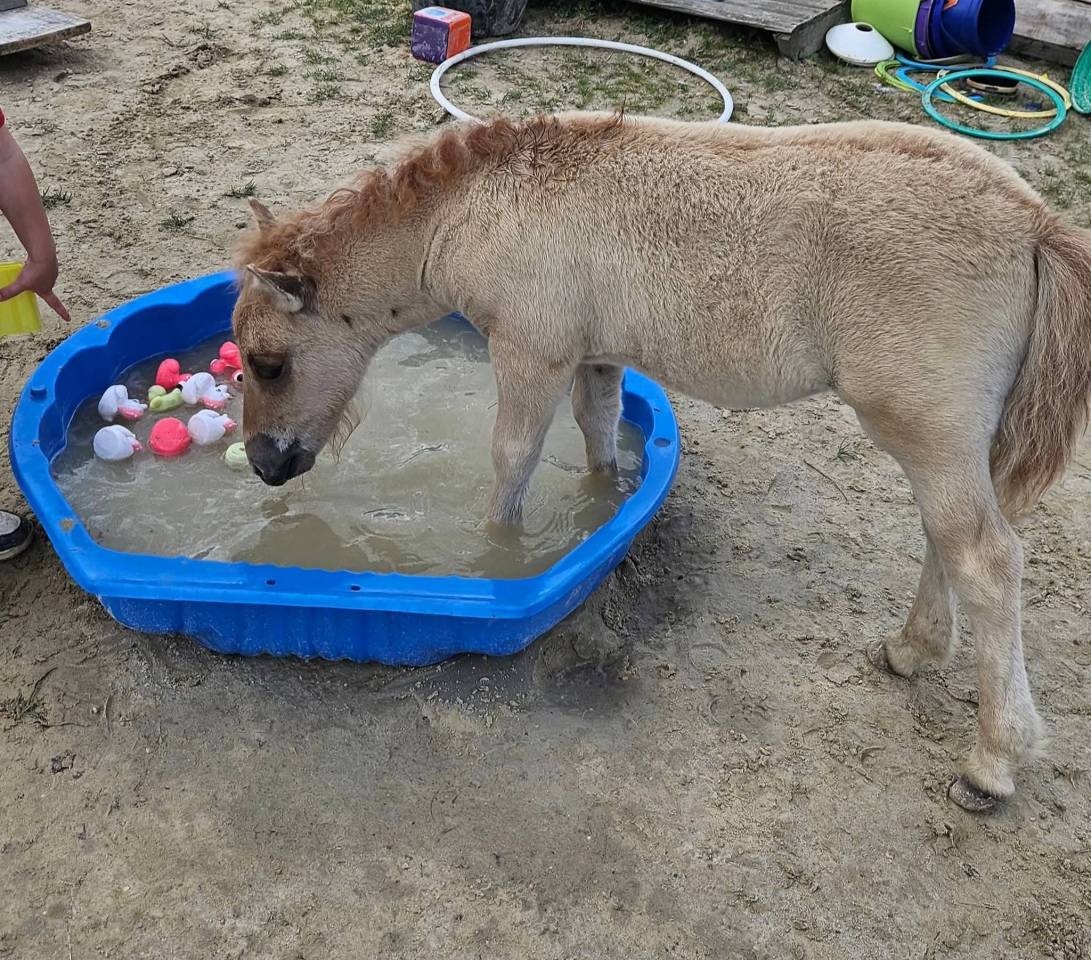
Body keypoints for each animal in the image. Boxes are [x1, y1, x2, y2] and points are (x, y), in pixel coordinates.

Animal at [230, 111, 1091, 812]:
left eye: (268, 364)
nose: (267, 465)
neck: (485, 204)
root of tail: (1032, 223)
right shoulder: (593, 353)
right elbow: (600, 429)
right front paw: (603, 508)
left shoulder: (530, 353)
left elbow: (511, 461)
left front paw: (493, 562)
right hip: (945, 440)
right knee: (944, 539)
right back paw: (911, 649)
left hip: (924, 429)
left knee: (984, 559)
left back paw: (990, 763)